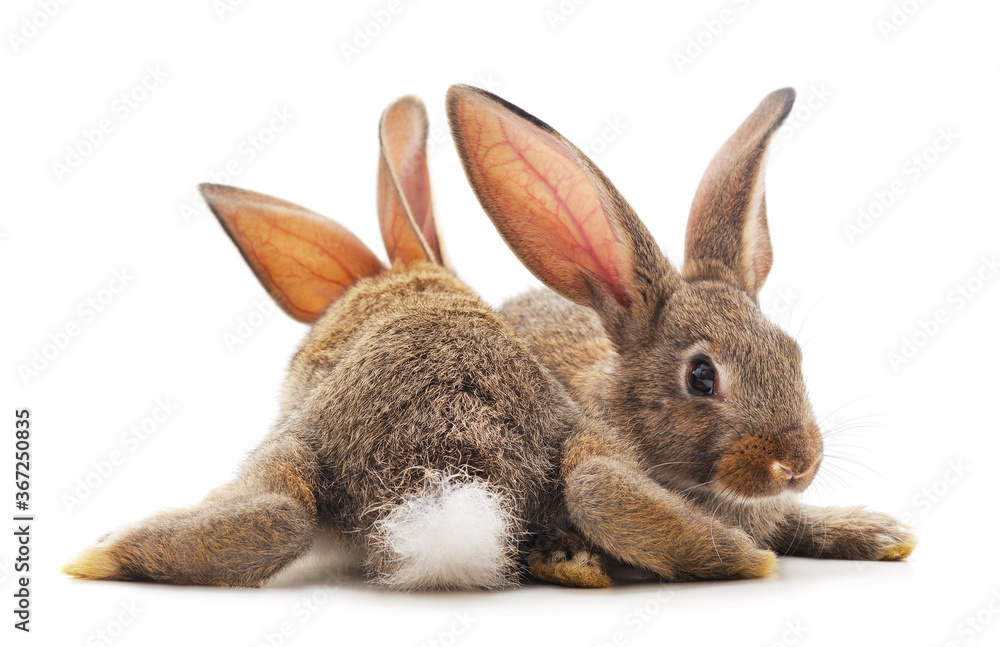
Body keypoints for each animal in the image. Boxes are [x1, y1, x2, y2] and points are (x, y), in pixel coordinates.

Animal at [446, 84, 917, 577]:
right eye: (701, 376)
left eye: (793, 354)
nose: (797, 464)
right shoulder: (592, 453)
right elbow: (593, 485)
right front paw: (750, 556)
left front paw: (883, 534)